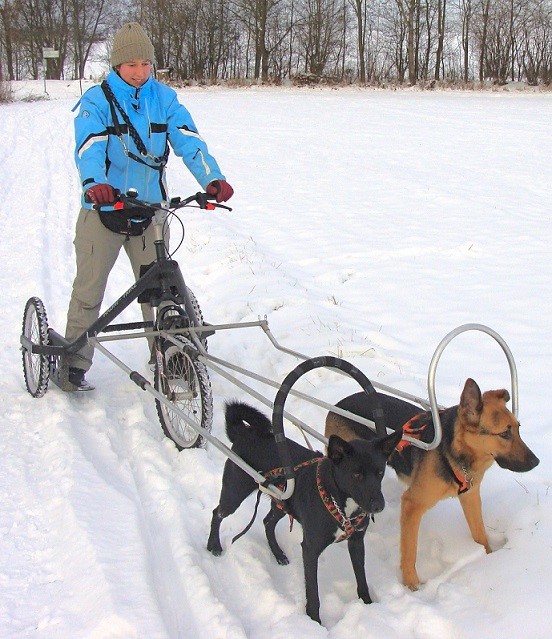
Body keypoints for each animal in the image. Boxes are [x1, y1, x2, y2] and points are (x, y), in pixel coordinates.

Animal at [207, 402, 402, 624]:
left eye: (380, 472)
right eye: (356, 474)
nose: (379, 505)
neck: (338, 499)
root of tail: (243, 433)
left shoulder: (356, 542)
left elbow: (361, 579)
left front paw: (368, 605)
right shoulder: (310, 549)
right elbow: (313, 593)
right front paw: (314, 622)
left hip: (282, 502)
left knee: (267, 522)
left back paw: (278, 554)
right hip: (235, 493)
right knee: (217, 513)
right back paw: (214, 545)